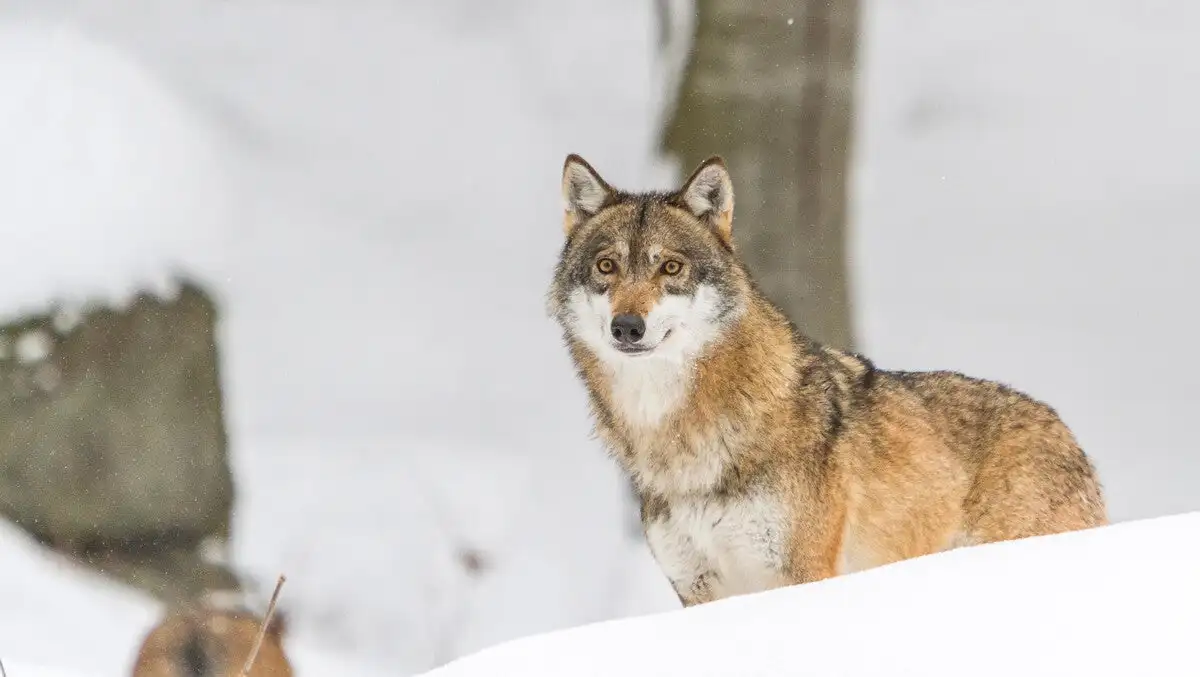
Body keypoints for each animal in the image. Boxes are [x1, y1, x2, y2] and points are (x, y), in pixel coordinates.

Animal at [549, 154, 1108, 607]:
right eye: (606, 266)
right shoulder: (698, 589)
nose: (627, 326)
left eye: (670, 267)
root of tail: (1068, 435)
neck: (681, 438)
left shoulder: (803, 572)